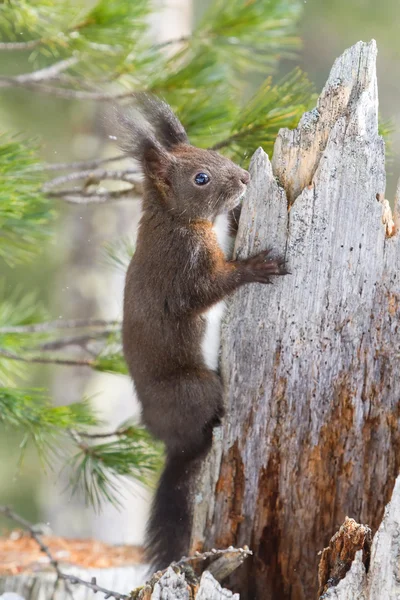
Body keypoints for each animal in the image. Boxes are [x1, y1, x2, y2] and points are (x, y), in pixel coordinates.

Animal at [112, 96, 288, 576]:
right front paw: (255, 267)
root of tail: (171, 441)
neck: (176, 219)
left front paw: (242, 212)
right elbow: (208, 290)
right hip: (195, 387)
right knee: (204, 429)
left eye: (212, 153)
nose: (245, 177)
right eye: (200, 178)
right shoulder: (185, 268)